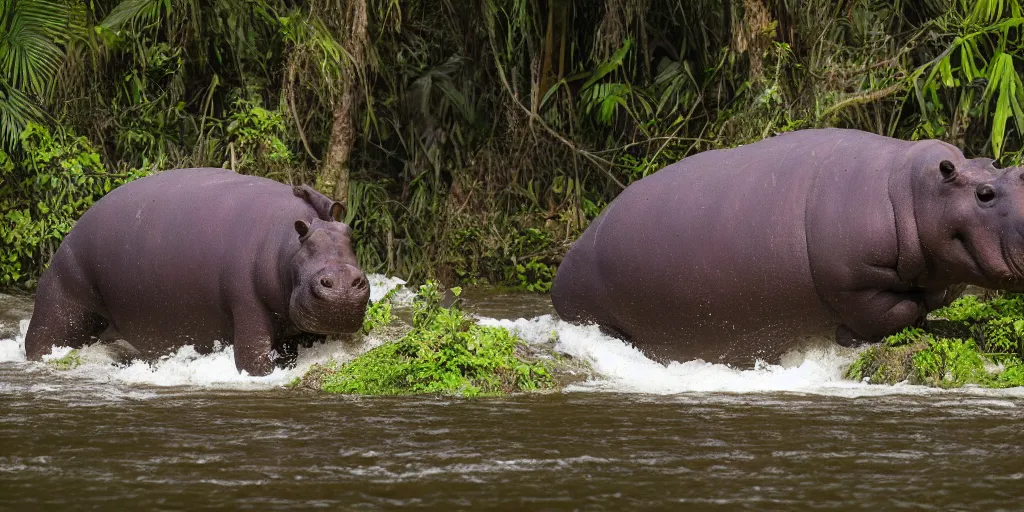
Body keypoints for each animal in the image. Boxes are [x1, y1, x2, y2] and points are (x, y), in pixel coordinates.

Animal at [24, 168, 372, 376]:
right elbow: (253, 361)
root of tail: (69, 236)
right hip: (63, 300)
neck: (285, 245)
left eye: (351, 235)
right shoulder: (247, 304)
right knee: (41, 337)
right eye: (305, 239)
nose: (342, 283)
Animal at [552, 126, 1024, 364]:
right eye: (984, 193)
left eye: (1017, 172)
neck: (911, 193)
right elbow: (897, 311)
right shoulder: (853, 283)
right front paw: (847, 336)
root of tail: (564, 264)